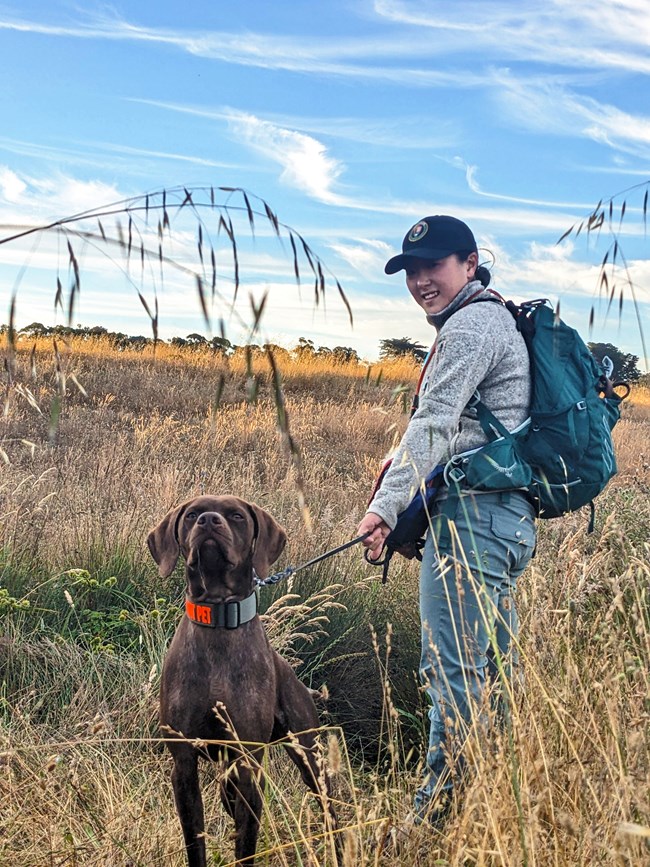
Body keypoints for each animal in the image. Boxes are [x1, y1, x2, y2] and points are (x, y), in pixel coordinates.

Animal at [149, 496, 336, 867]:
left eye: (236, 515)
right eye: (191, 515)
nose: (208, 521)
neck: (219, 621)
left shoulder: (249, 765)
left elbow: (245, 845)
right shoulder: (184, 765)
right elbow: (195, 842)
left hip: (309, 758)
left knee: (330, 811)